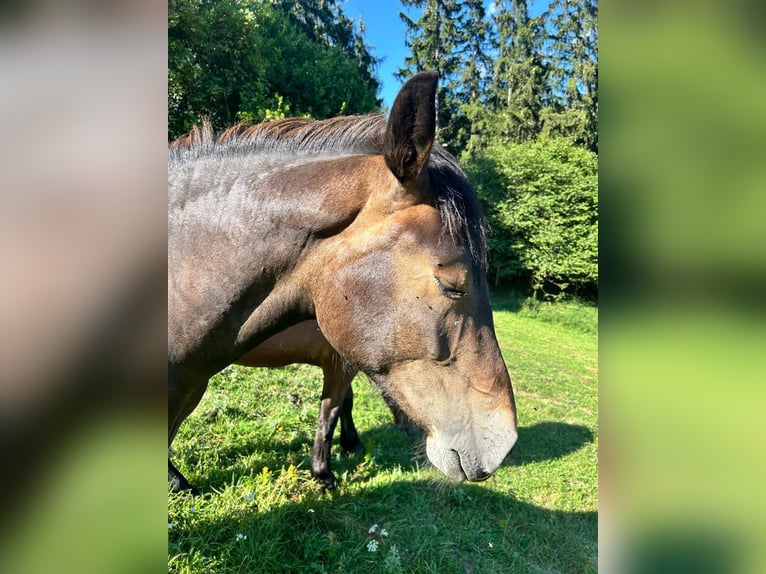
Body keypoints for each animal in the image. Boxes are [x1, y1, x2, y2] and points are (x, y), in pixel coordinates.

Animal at [168, 72, 518, 492]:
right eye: (453, 284)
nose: (502, 442)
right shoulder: (338, 368)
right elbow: (331, 411)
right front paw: (325, 471)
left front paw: (348, 446)